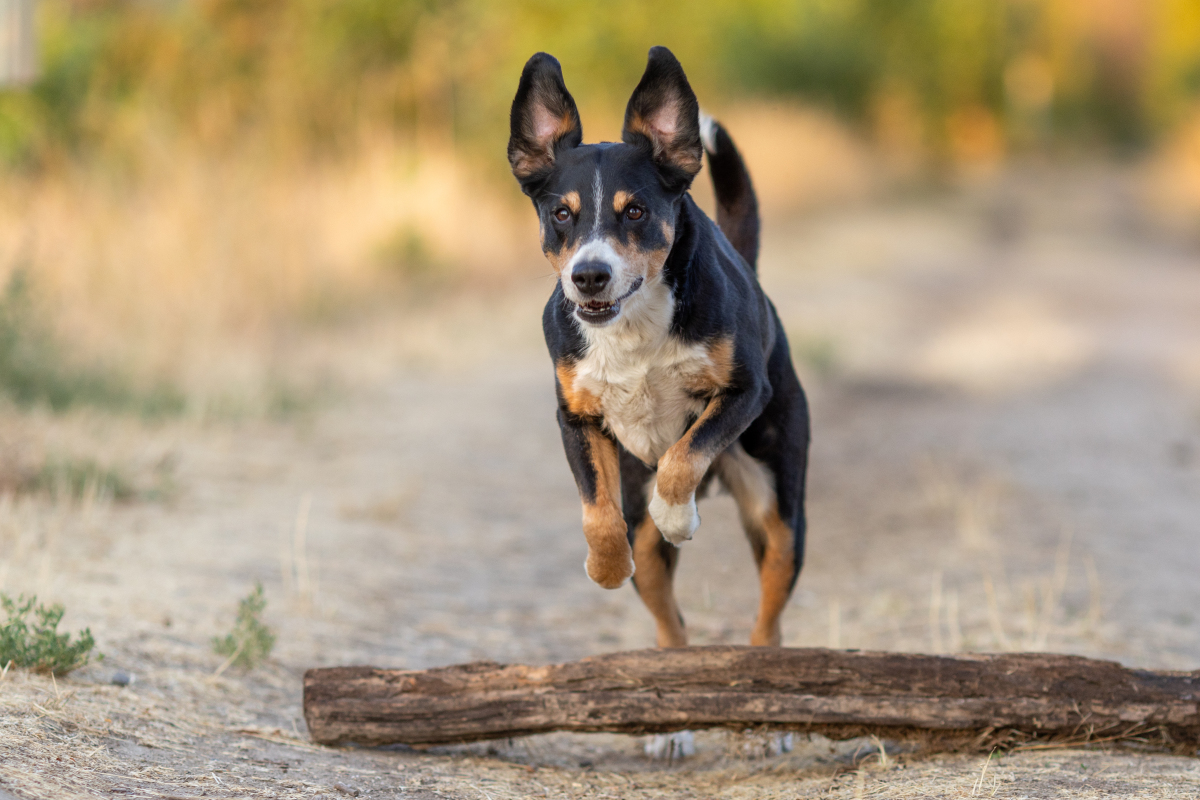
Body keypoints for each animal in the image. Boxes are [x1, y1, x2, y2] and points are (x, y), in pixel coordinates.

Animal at [501, 45, 811, 652]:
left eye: (636, 211)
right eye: (562, 213)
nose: (589, 276)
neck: (633, 332)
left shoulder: (743, 391)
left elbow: (684, 454)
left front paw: (676, 516)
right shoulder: (576, 417)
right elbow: (596, 510)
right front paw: (604, 566)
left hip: (780, 508)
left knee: (771, 605)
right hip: (645, 525)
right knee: (670, 614)